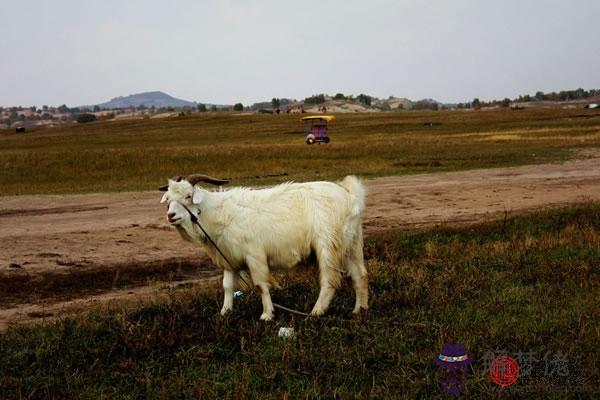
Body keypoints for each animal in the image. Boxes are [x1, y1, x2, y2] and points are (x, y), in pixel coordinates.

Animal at [158, 173, 366, 320]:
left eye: (188, 195)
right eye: (168, 199)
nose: (171, 216)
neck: (220, 213)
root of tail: (350, 195)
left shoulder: (254, 255)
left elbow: (261, 285)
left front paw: (266, 315)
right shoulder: (228, 258)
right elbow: (227, 286)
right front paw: (225, 312)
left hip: (328, 244)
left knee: (329, 280)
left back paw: (316, 312)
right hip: (352, 244)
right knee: (360, 274)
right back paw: (359, 309)